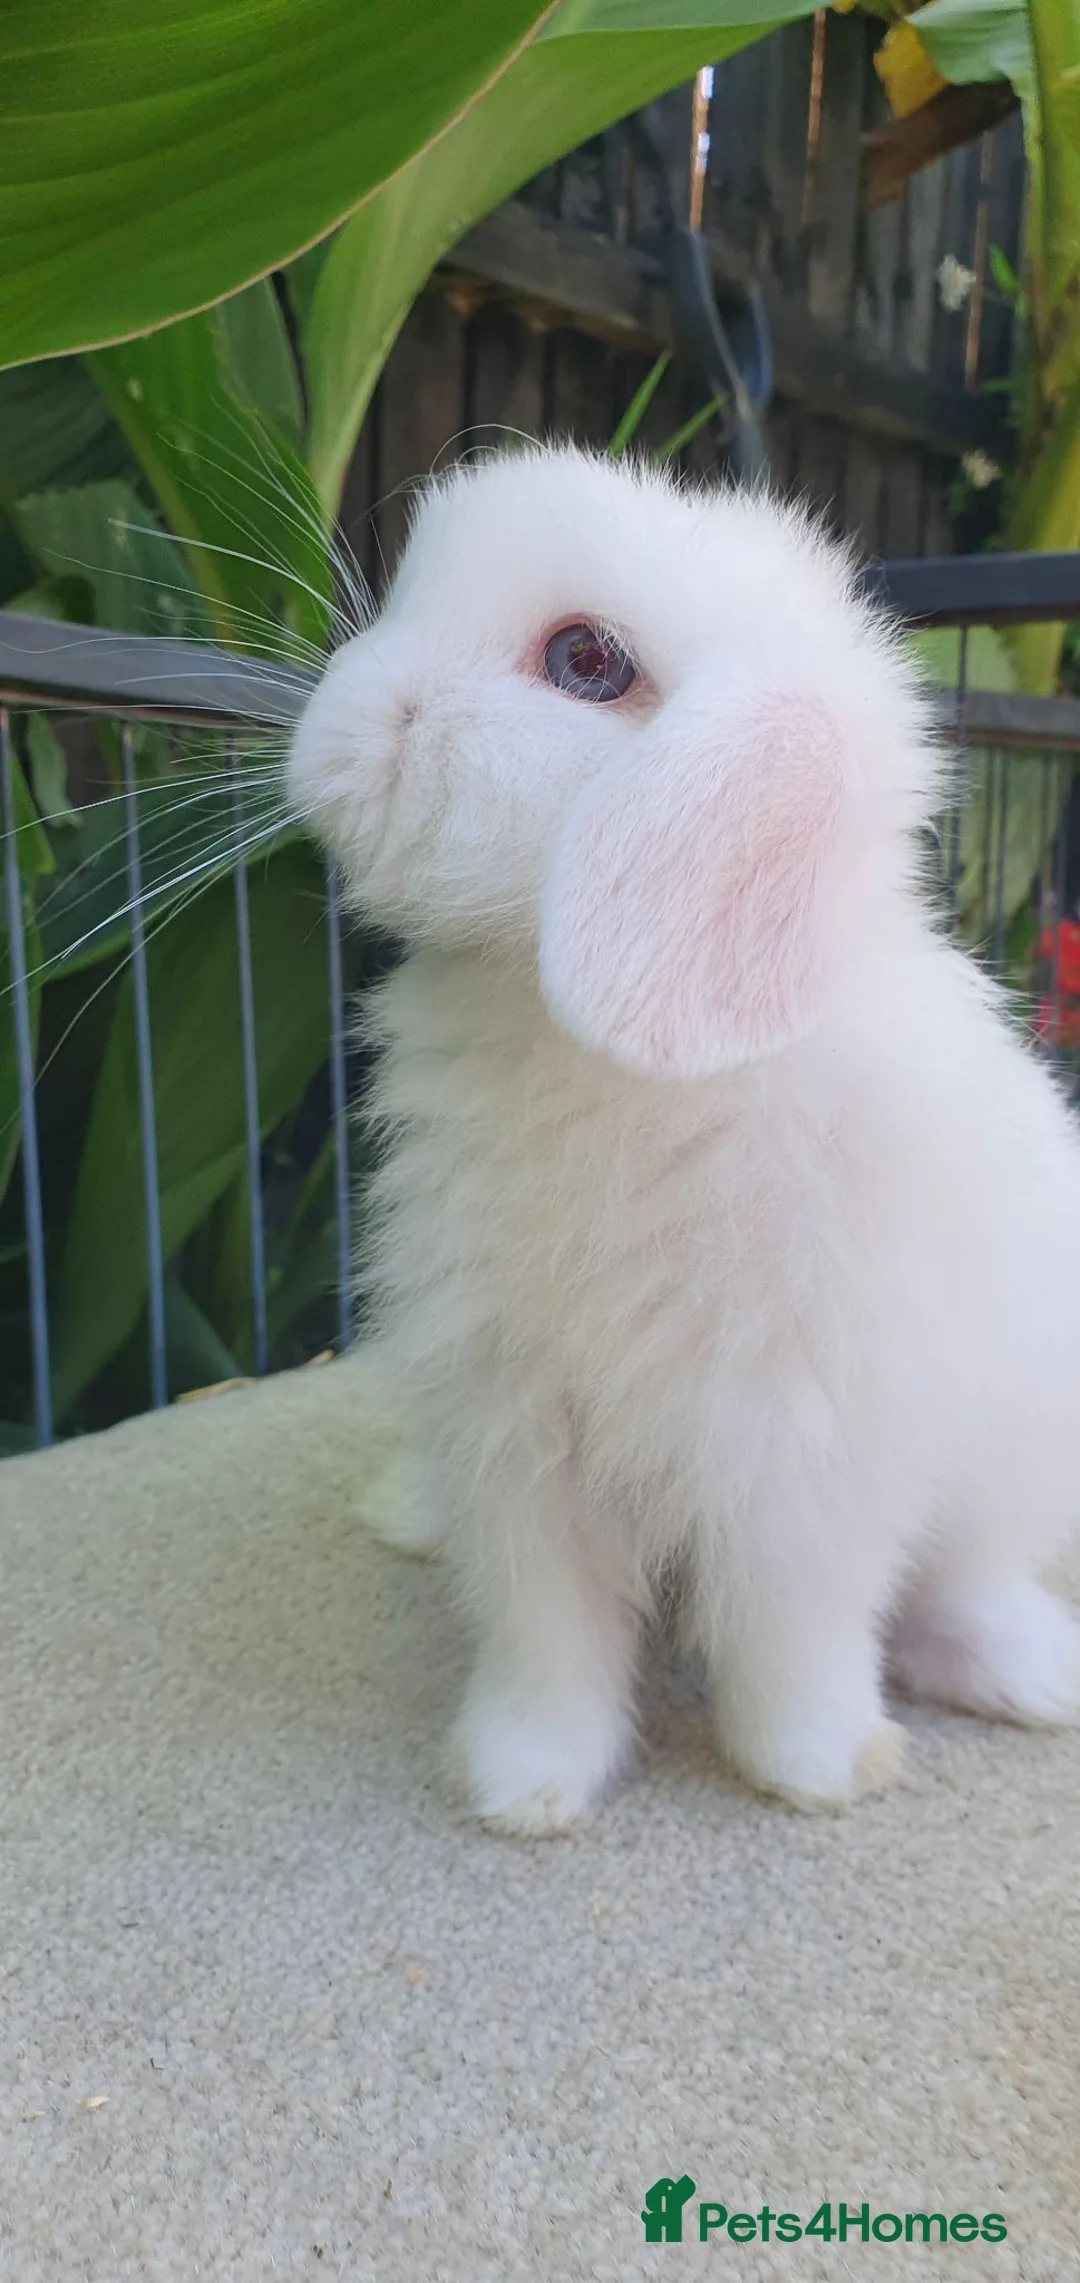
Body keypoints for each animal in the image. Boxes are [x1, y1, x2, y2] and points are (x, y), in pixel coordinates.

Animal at [287, 443, 1080, 1835]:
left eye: (585, 659)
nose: (340, 725)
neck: (603, 1065)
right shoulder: (515, 1436)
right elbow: (546, 1635)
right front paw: (524, 1788)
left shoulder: (806, 1452)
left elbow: (794, 1631)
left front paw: (814, 1770)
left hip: (1024, 1449)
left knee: (968, 1583)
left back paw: (1031, 1676)